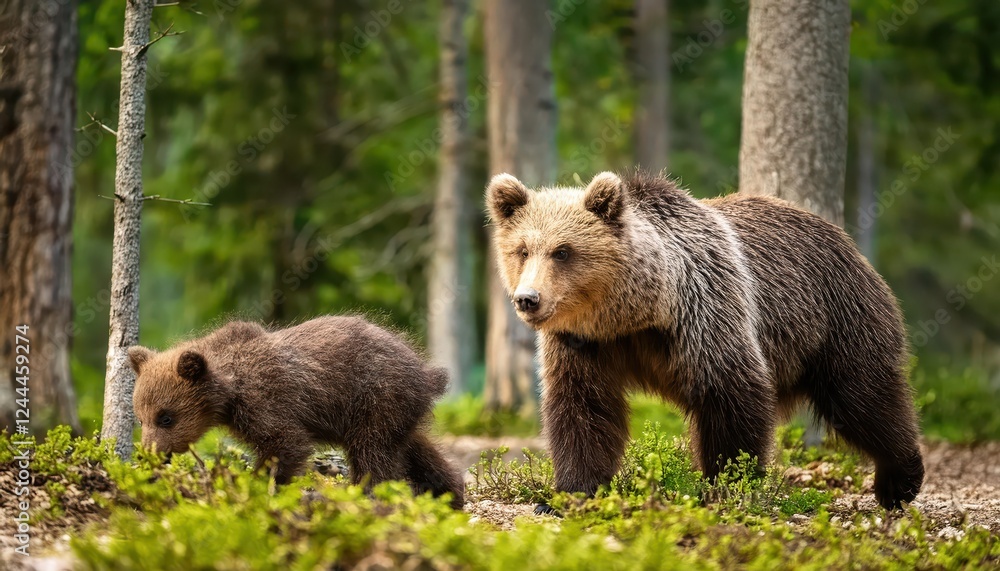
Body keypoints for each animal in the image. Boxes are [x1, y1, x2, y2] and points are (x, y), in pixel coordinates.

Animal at [127, 315, 465, 509]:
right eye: (141, 418)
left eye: (166, 417)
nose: (149, 454)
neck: (230, 389)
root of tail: (424, 373)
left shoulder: (266, 401)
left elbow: (285, 443)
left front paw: (256, 482)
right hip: (398, 412)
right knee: (416, 448)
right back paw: (450, 494)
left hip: (376, 399)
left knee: (373, 452)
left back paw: (366, 494)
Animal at [485, 170, 924, 510]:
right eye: (522, 250)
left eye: (563, 251)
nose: (528, 298)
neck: (635, 313)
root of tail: (844, 239)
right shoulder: (582, 343)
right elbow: (582, 407)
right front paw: (569, 493)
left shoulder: (703, 309)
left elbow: (730, 394)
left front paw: (724, 485)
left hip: (836, 316)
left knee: (861, 395)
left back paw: (899, 480)